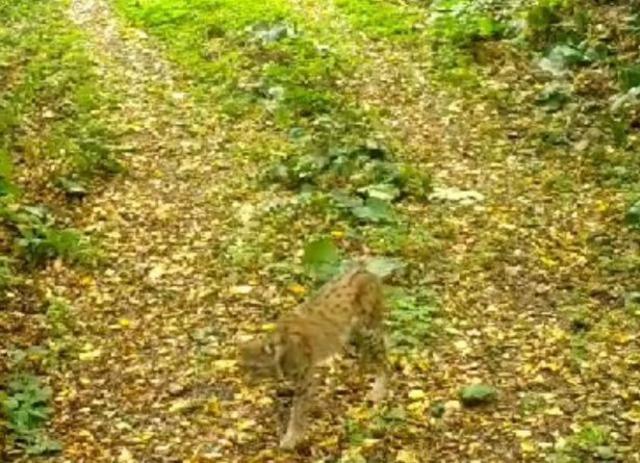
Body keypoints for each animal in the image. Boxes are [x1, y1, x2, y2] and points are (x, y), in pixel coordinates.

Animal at [238, 264, 388, 450]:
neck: (283, 352)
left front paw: (292, 438)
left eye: (256, 368)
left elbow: (298, 409)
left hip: (368, 329)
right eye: (244, 367)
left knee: (385, 355)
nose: (246, 381)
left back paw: (379, 390)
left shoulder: (305, 377)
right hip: (353, 333)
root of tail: (364, 270)